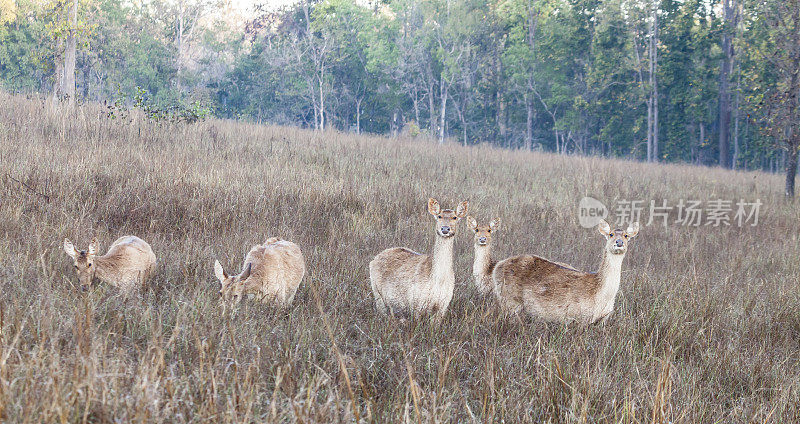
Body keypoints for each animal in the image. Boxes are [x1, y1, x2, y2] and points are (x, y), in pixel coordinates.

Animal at [490, 219, 640, 324]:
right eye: (611, 234)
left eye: (627, 235)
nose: (619, 242)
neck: (601, 295)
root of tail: (497, 266)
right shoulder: (579, 316)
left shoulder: (603, 320)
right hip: (510, 301)